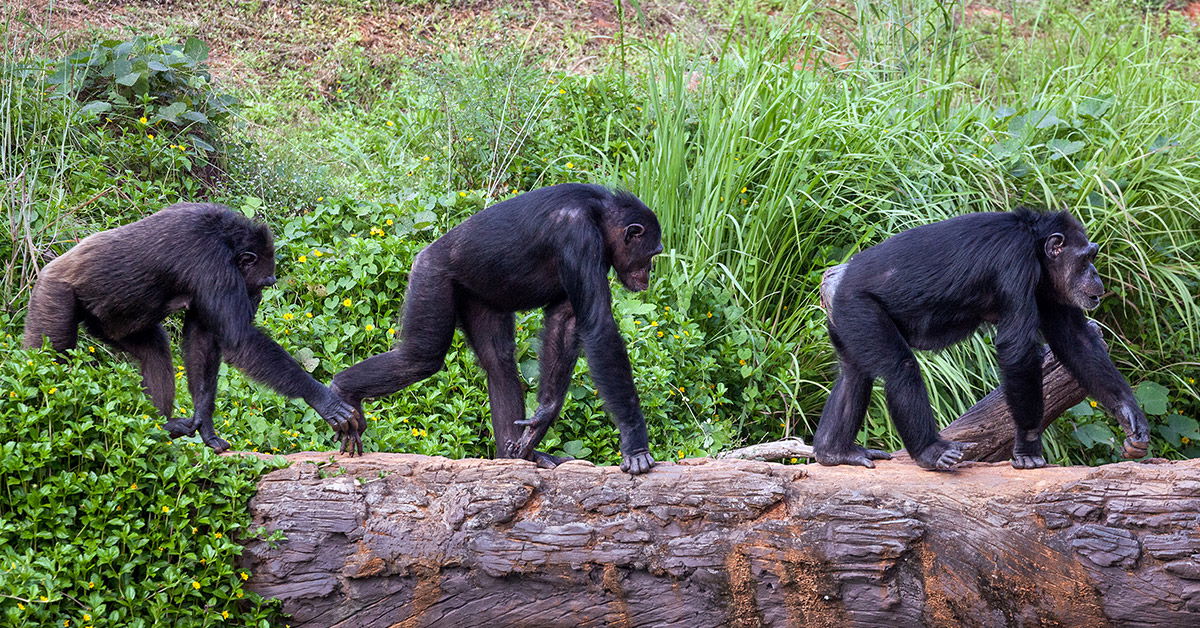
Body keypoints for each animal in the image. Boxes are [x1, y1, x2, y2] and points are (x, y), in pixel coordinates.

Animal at [24, 204, 355, 453]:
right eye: (263, 284)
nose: (257, 301)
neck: (226, 242)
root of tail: (46, 270)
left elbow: (203, 341)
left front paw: (205, 424)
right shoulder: (212, 265)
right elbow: (238, 340)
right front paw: (322, 399)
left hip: (111, 324)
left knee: (155, 350)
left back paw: (157, 426)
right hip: (53, 298)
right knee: (51, 358)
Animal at [331, 184, 667, 475]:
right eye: (652, 254)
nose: (650, 272)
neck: (599, 217)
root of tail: (424, 252)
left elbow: (566, 322)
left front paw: (541, 420)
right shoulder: (579, 239)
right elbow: (599, 329)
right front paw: (636, 445)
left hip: (479, 299)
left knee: (498, 363)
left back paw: (518, 455)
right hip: (431, 277)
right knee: (419, 357)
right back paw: (340, 395)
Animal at [816, 208, 1152, 468]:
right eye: (1086, 259)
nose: (1095, 274)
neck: (1035, 248)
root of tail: (833, 281)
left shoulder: (1049, 290)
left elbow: (1076, 341)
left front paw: (1129, 415)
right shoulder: (1015, 262)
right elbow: (1017, 350)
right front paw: (1028, 447)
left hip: (846, 320)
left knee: (854, 373)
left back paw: (835, 452)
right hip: (859, 307)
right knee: (900, 368)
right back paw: (930, 451)